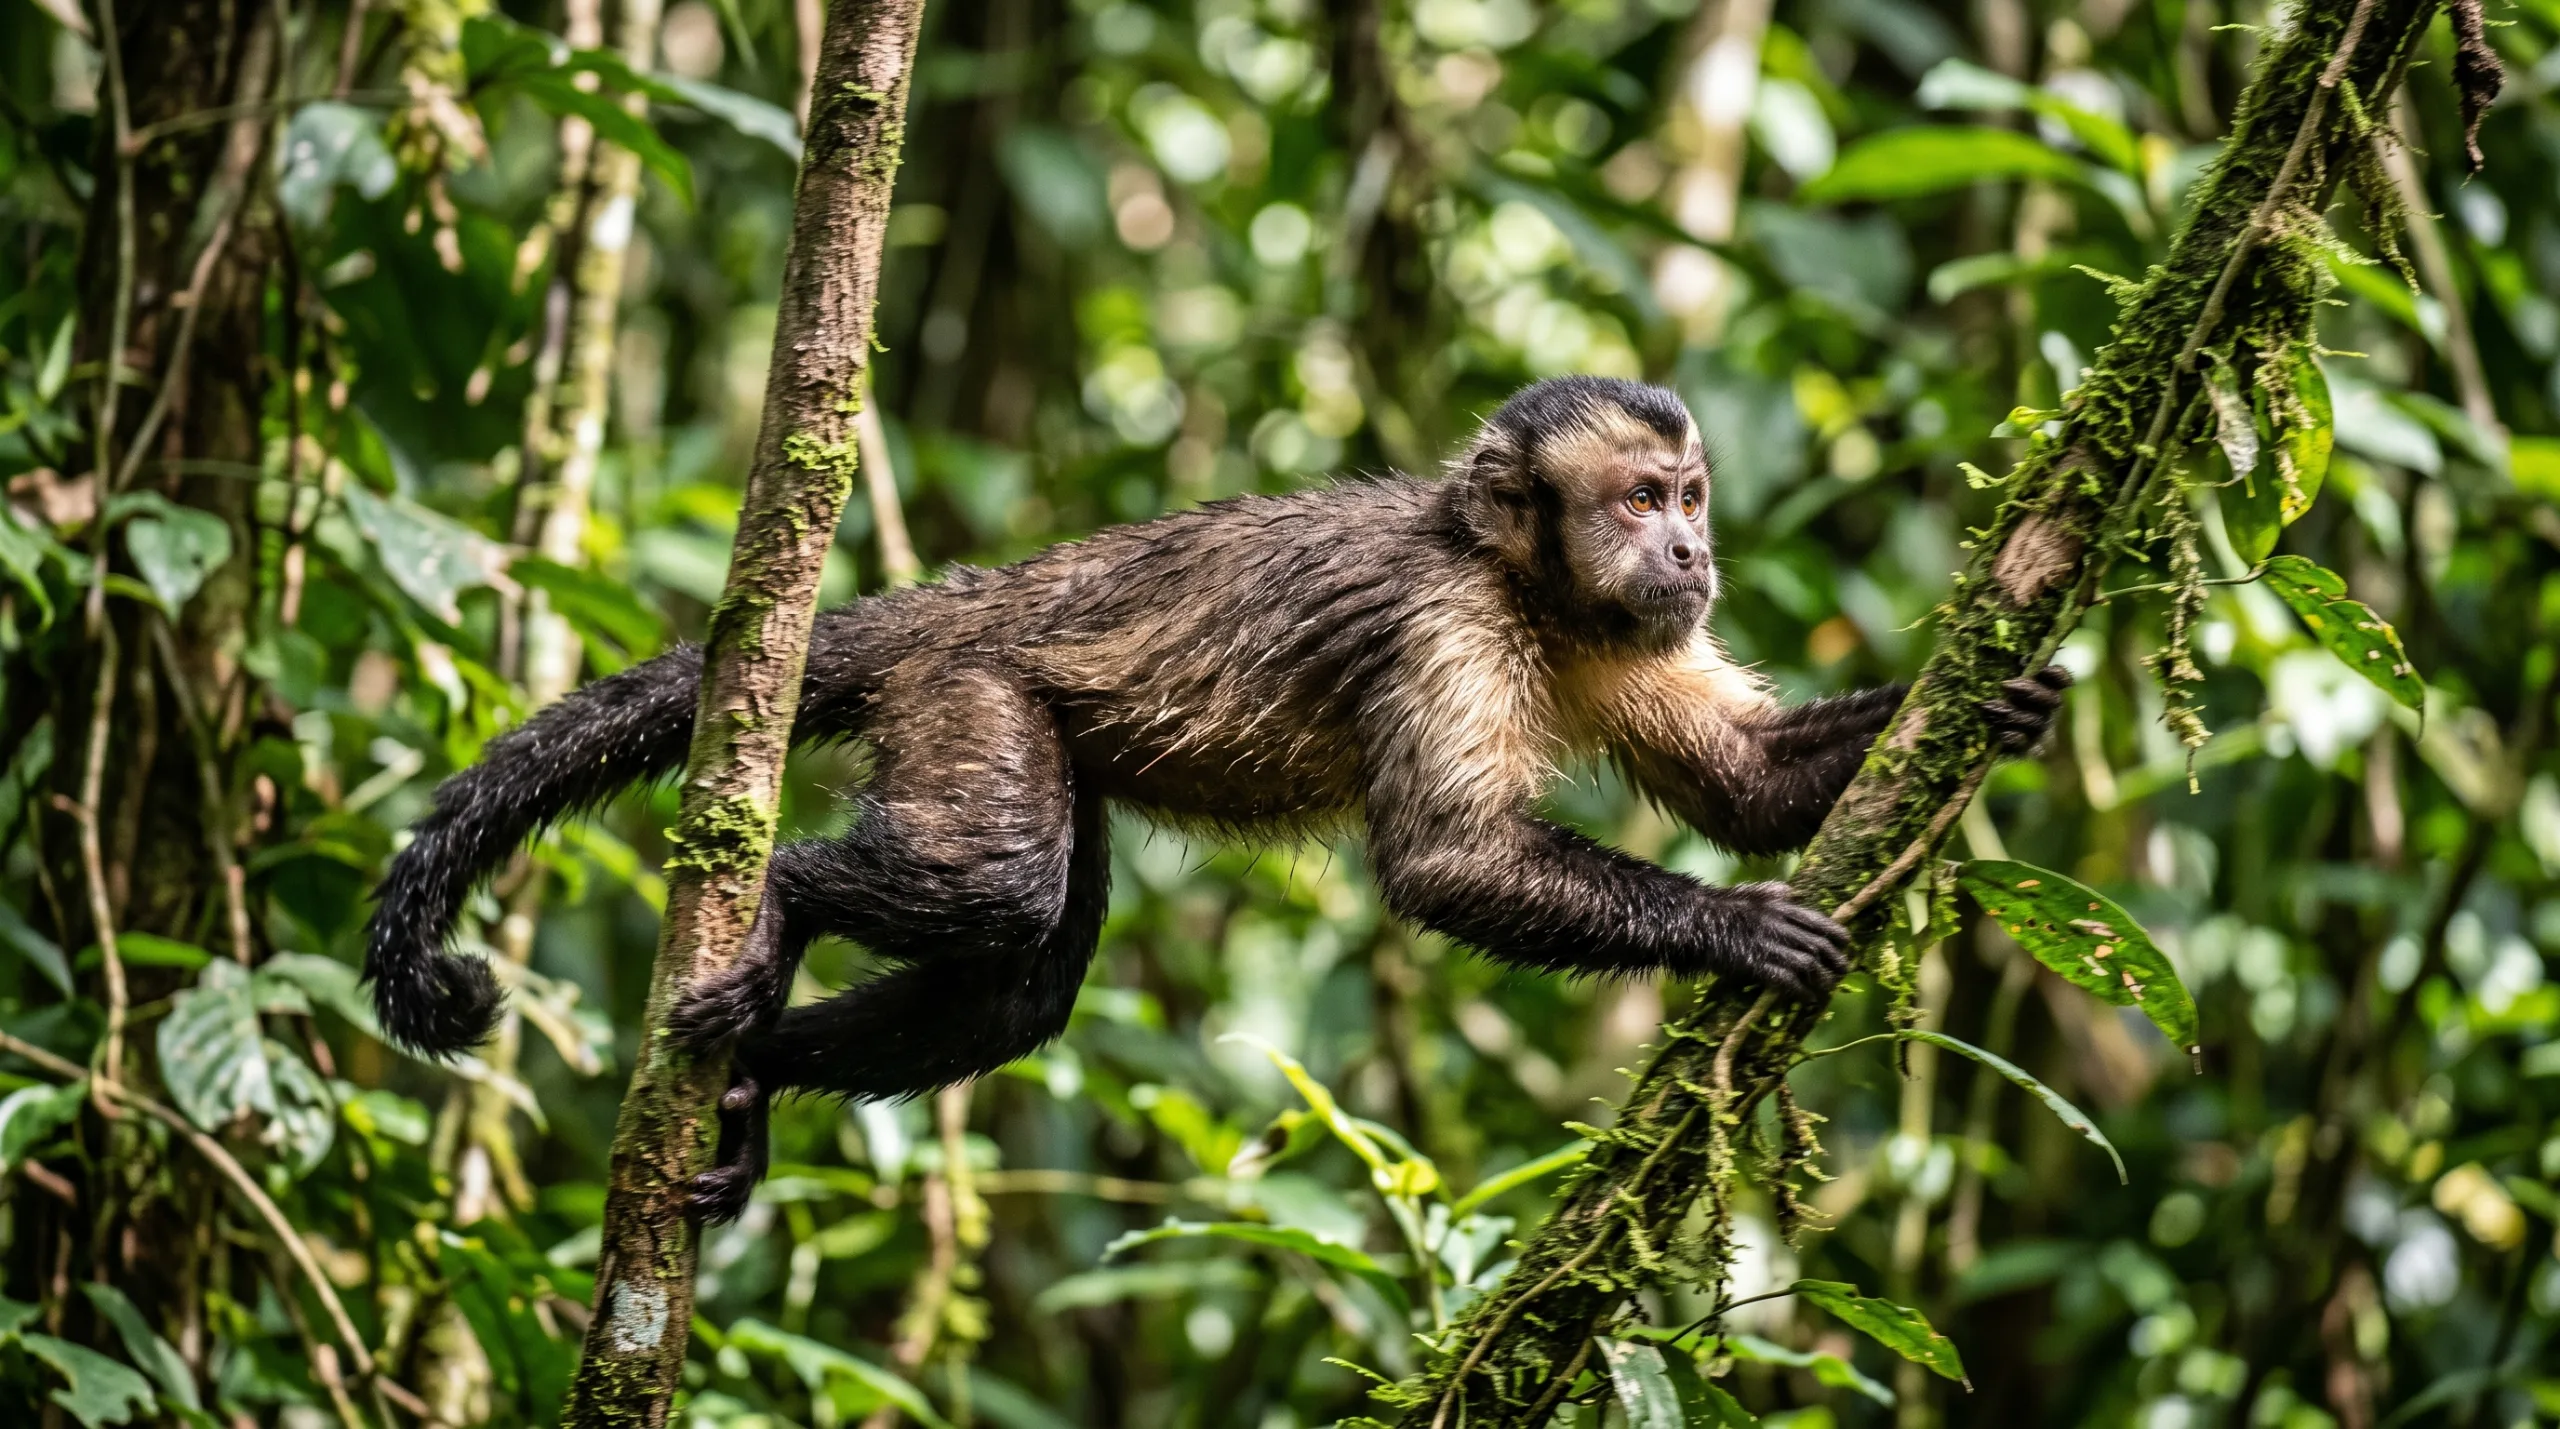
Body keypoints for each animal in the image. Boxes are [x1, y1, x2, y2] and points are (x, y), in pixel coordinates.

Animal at [363, 375, 2069, 1221]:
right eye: (1643, 498)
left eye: (1692, 499)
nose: (1694, 550)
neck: (1529, 586)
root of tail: (953, 602)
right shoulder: (1446, 620)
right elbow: (1445, 861)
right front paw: (1734, 932)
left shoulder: (1623, 633)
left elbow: (1746, 786)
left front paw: (2002, 699)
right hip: (968, 694)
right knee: (1000, 888)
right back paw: (774, 902)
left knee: (1025, 977)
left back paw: (760, 1077)